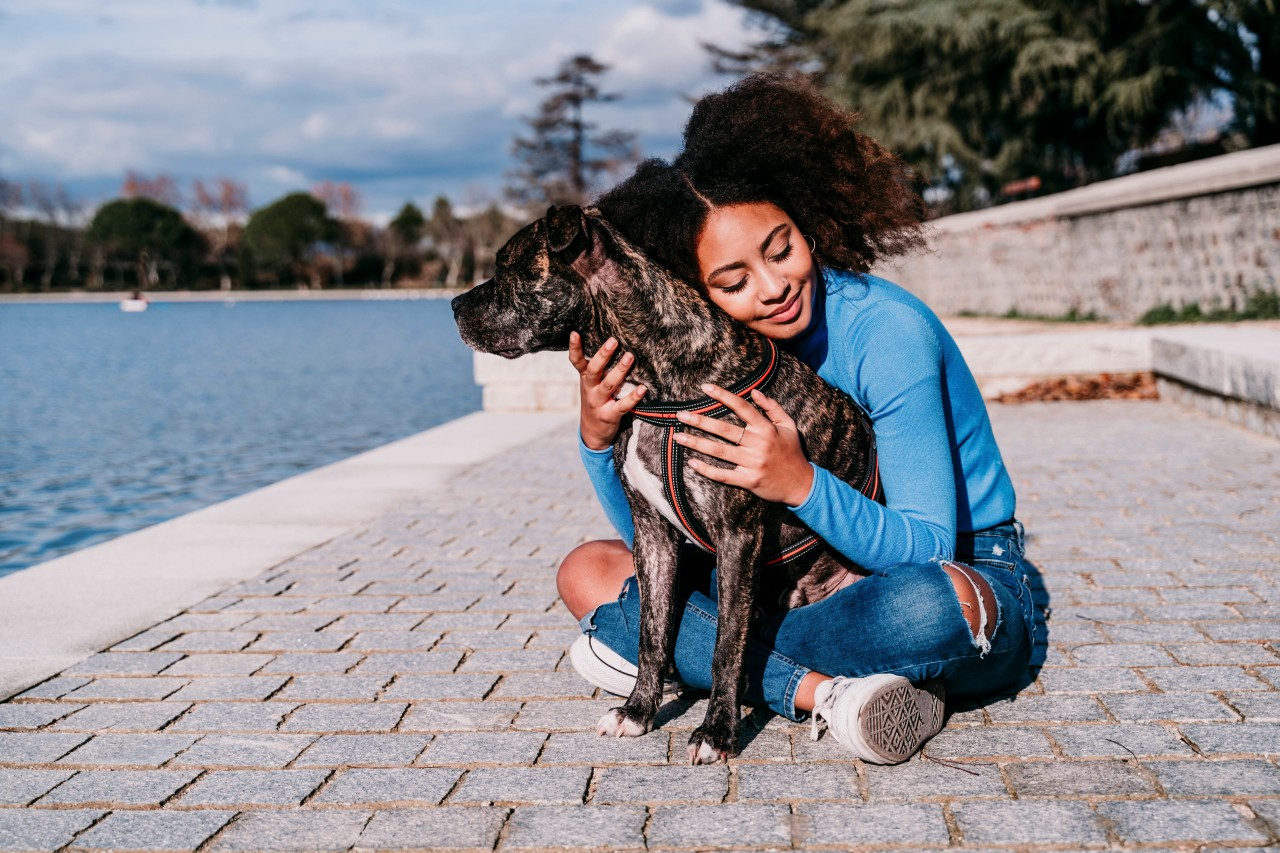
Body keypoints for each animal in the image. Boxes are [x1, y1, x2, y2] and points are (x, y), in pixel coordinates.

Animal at [455, 206, 885, 763]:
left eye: (509, 267)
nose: (453, 305)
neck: (659, 382)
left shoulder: (738, 535)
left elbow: (725, 646)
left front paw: (717, 733)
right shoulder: (653, 533)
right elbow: (653, 633)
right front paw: (638, 713)